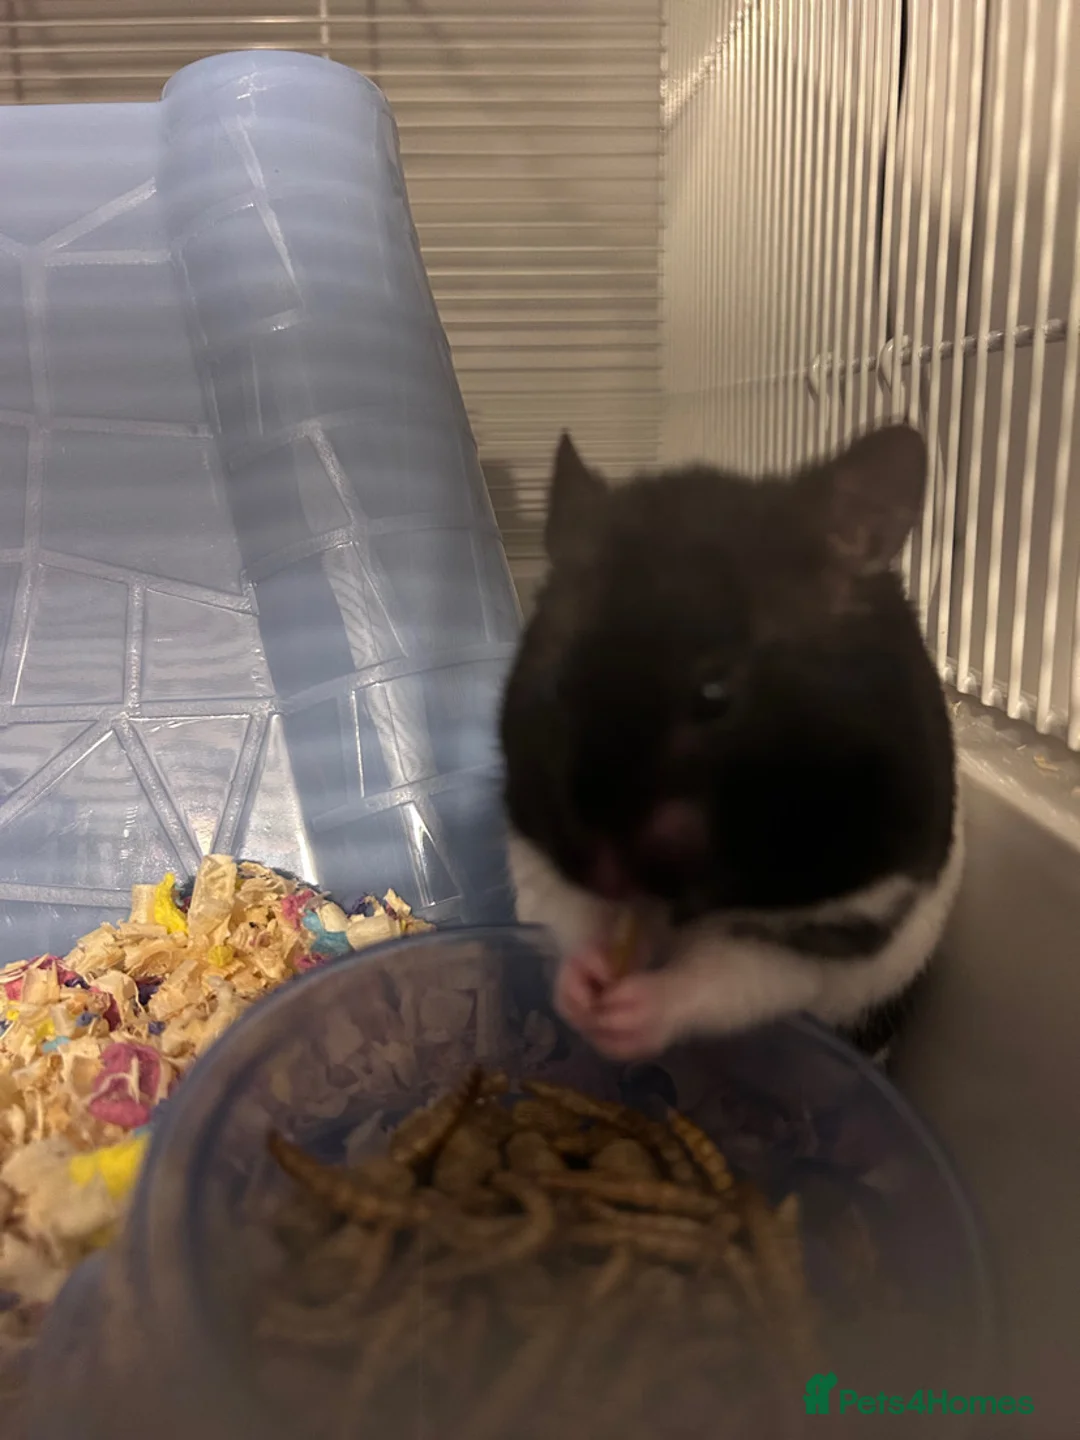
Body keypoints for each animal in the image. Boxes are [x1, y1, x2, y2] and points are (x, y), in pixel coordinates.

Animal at [499, 424, 961, 1065]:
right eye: (558, 683)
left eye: (715, 693)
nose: (608, 874)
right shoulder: (536, 848)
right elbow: (571, 913)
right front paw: (583, 989)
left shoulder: (836, 920)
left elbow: (730, 973)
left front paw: (625, 1016)